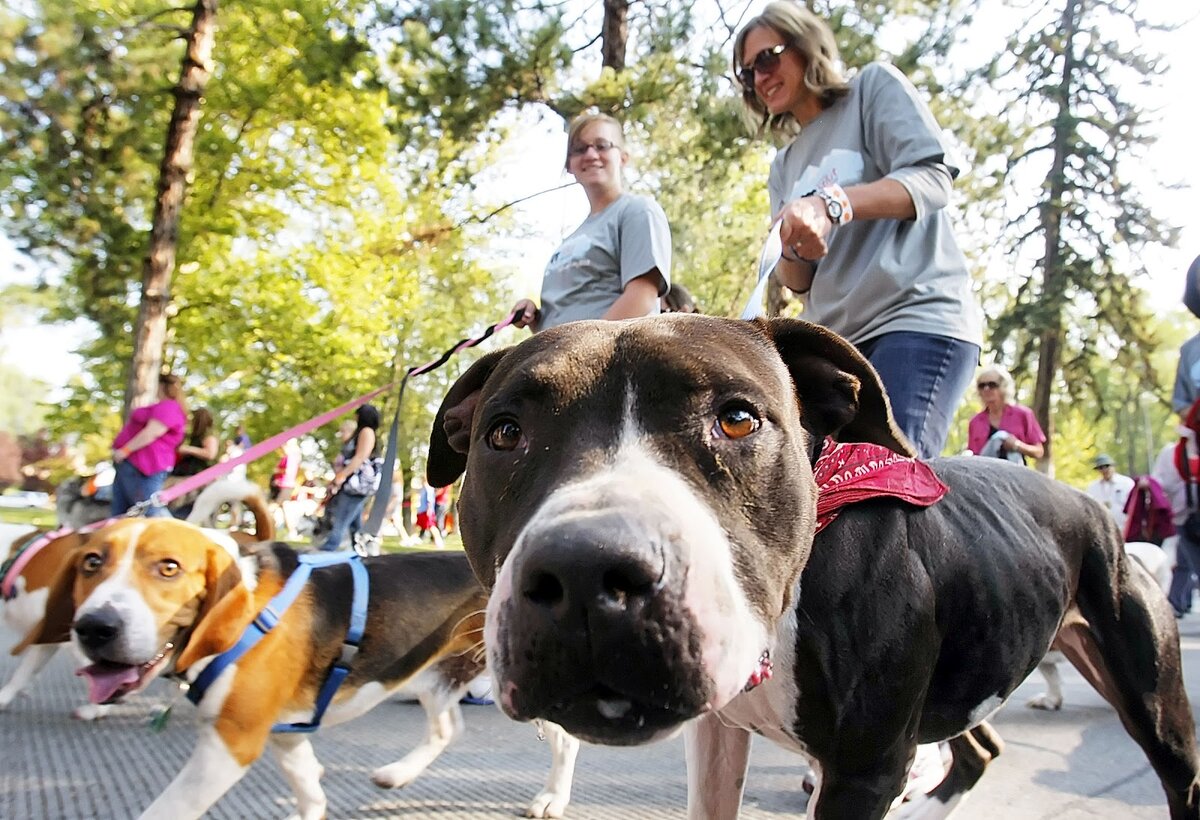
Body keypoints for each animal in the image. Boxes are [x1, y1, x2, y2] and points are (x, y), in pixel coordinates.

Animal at [429, 316, 1200, 820]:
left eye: (738, 419)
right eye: (504, 433)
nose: (586, 572)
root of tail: (1092, 507)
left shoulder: (863, 771)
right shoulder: (718, 738)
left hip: (1155, 704)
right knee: (979, 748)